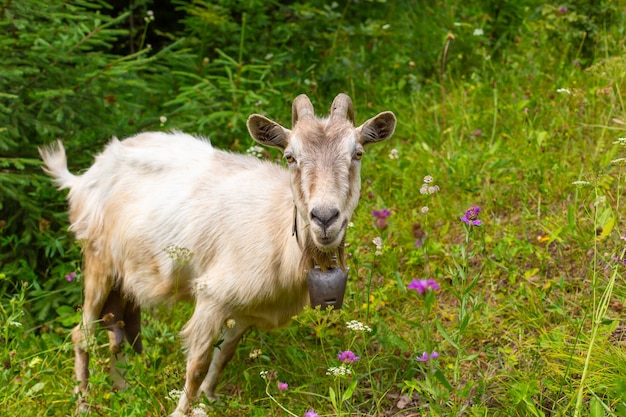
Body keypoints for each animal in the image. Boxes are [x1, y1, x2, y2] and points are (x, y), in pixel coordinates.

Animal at [40, 92, 394, 414]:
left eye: (357, 153)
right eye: (290, 156)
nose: (324, 217)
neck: (277, 229)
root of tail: (83, 177)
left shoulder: (247, 309)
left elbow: (224, 355)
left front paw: (211, 399)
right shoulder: (212, 296)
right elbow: (198, 364)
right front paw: (183, 410)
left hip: (123, 278)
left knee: (117, 332)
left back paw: (124, 390)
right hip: (97, 260)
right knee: (82, 334)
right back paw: (83, 404)